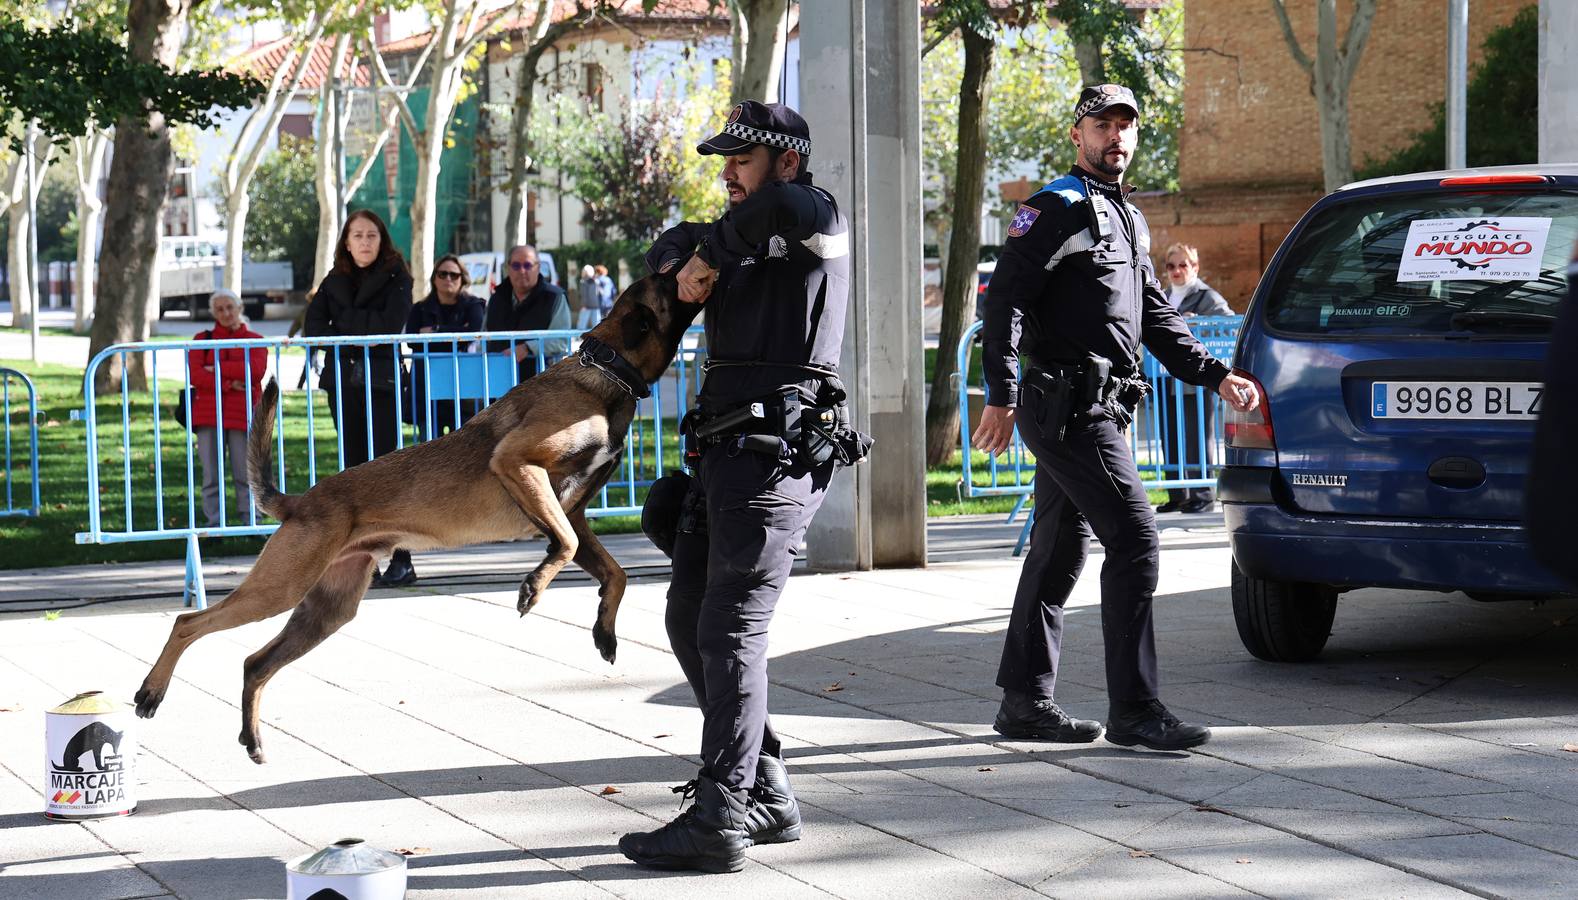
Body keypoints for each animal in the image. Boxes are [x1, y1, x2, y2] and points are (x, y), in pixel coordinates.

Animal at [132, 271, 700, 757]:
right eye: (668, 279)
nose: (693, 260)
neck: (605, 371)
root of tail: (301, 502)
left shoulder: (572, 510)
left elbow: (612, 570)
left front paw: (604, 629)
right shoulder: (520, 465)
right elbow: (567, 545)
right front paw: (534, 589)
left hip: (325, 612)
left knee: (254, 663)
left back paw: (251, 738)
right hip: (281, 588)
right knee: (188, 622)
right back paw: (151, 692)